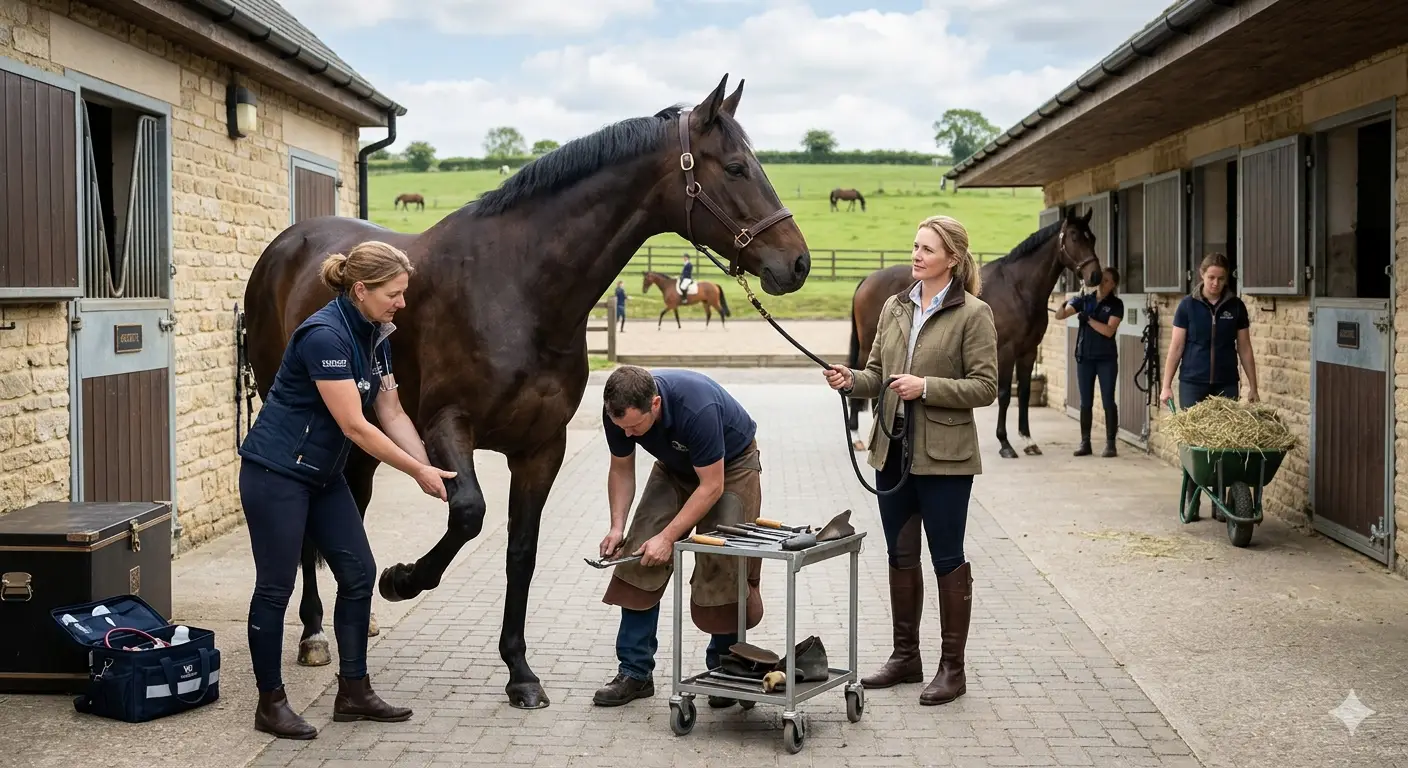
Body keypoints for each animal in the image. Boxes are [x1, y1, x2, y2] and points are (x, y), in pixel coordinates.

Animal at [240, 74, 810, 711]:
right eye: (735, 167)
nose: (797, 262)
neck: (517, 285)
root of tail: (288, 245)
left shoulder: (541, 447)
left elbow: (522, 550)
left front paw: (519, 671)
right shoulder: (446, 426)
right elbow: (468, 514)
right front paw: (403, 579)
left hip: (361, 436)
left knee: (349, 506)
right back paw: (315, 631)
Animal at [842, 206, 1101, 458]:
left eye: (1092, 238)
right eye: (1074, 237)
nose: (1095, 275)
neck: (1018, 289)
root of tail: (867, 279)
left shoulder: (1028, 352)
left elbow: (1025, 394)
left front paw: (1028, 441)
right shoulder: (1005, 351)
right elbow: (1004, 394)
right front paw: (1005, 443)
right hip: (869, 345)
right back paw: (855, 437)